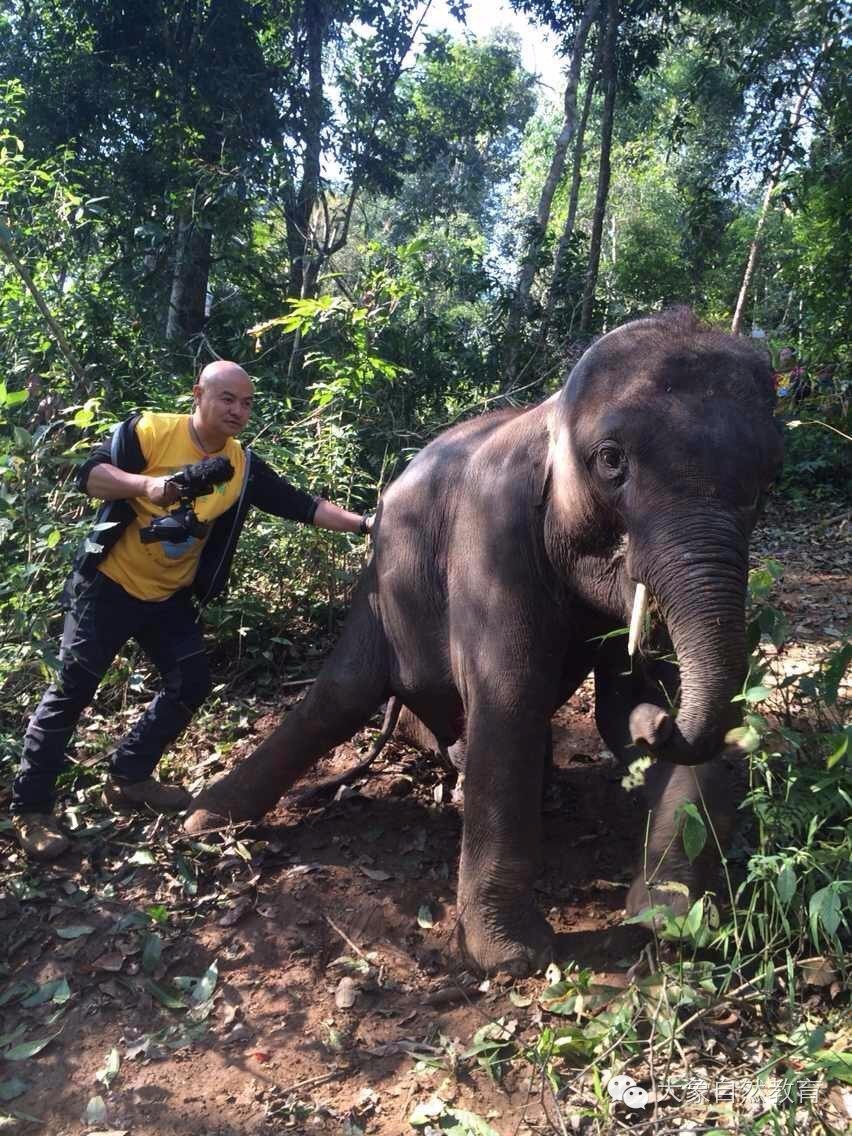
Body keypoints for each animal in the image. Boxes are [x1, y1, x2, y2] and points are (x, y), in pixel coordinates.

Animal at [185, 311, 781, 976]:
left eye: (767, 481)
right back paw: (202, 820)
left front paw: (669, 916)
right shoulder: (492, 535)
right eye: (610, 461)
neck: (550, 415)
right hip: (379, 586)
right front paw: (509, 955)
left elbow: (616, 708)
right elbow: (509, 696)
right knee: (341, 695)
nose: (661, 723)